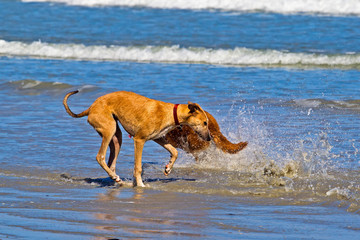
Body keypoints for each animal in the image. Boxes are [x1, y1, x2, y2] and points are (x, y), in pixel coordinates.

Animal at [63, 91, 211, 187]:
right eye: (205, 123)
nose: (209, 138)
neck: (170, 113)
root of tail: (91, 107)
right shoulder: (139, 140)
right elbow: (138, 167)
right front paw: (140, 185)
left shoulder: (158, 138)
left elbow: (174, 151)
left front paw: (168, 168)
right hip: (109, 129)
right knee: (100, 156)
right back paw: (115, 177)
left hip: (116, 137)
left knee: (111, 162)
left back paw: (116, 179)